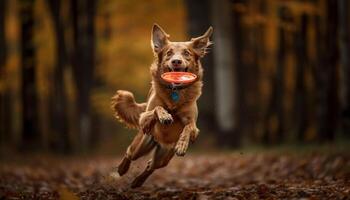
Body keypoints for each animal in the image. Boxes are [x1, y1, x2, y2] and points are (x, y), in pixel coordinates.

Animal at [110, 23, 212, 188]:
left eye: (186, 53)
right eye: (169, 53)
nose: (176, 61)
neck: (174, 91)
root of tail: (158, 142)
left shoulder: (193, 126)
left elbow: (188, 128)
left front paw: (182, 145)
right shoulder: (144, 117)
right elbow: (158, 109)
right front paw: (165, 116)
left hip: (163, 156)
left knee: (151, 166)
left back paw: (138, 181)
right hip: (142, 143)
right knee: (130, 153)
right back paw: (121, 169)